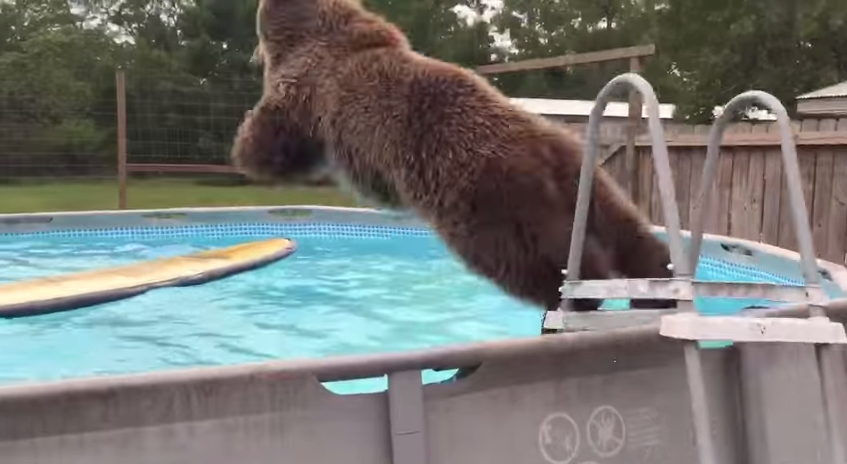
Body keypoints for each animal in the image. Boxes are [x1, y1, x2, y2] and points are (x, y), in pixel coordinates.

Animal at [229, 0, 672, 312]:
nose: (250, 55)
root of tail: (540, 154)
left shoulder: (307, 89)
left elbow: (275, 135)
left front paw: (245, 147)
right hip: (584, 174)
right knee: (627, 233)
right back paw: (655, 284)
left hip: (481, 200)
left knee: (530, 260)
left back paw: (579, 294)